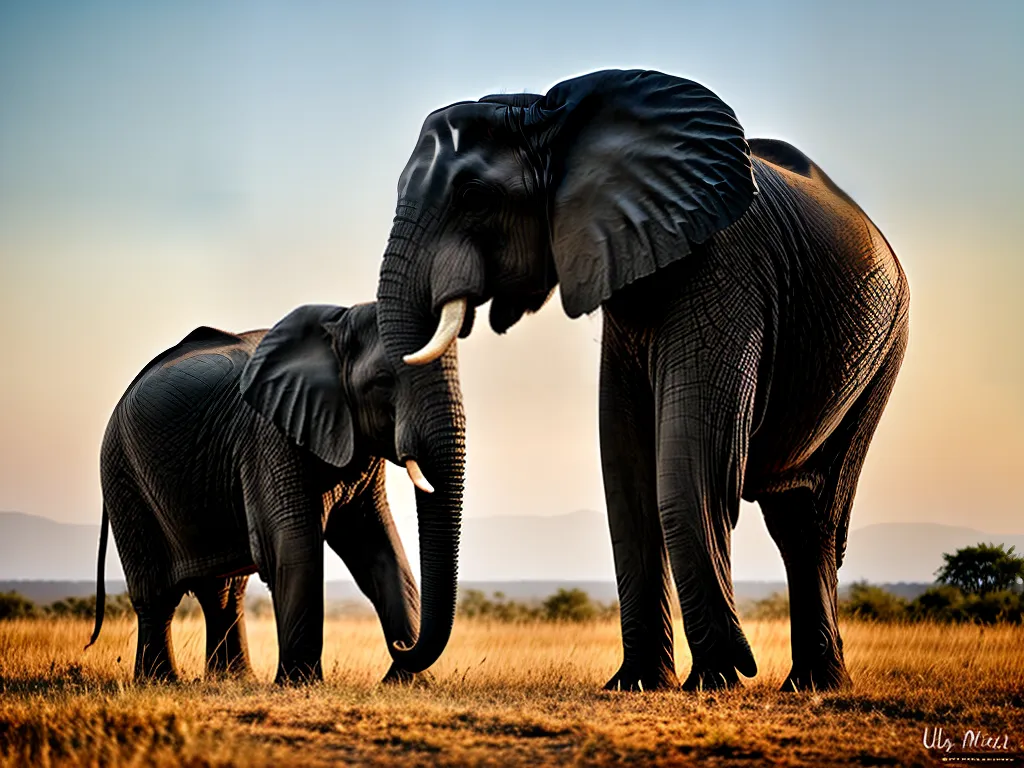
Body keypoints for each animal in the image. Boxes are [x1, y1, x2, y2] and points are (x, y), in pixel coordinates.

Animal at [87, 301, 466, 683]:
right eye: (384, 380)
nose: (402, 646)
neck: (336, 327)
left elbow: (376, 547)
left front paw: (408, 684)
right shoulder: (267, 436)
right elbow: (291, 545)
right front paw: (300, 683)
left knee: (223, 592)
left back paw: (234, 680)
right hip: (122, 473)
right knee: (156, 594)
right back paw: (161, 680)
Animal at [374, 69, 909, 691]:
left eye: (474, 196)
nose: (400, 648)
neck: (552, 119)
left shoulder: (726, 269)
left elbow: (690, 465)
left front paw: (715, 680)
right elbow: (626, 472)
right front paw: (639, 685)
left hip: (884, 349)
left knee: (817, 518)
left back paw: (813, 684)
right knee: (797, 520)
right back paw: (810, 685)